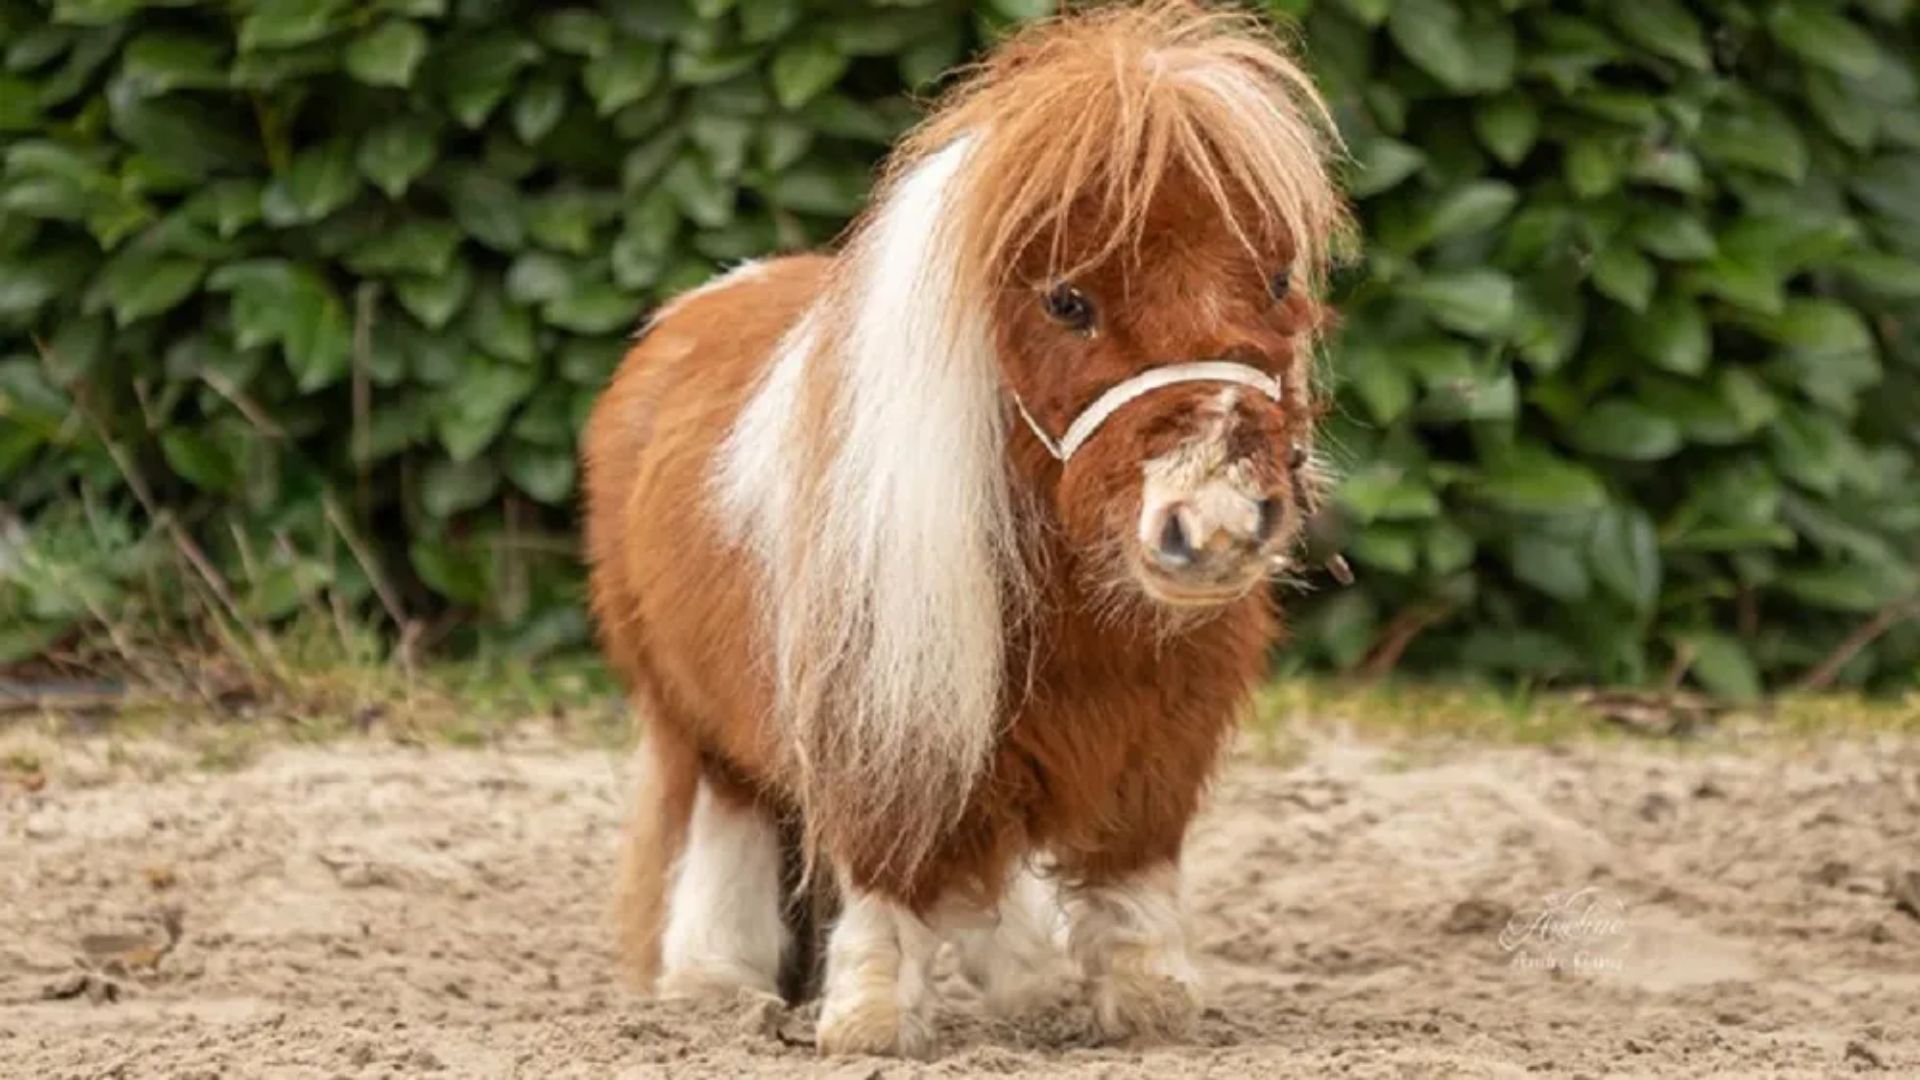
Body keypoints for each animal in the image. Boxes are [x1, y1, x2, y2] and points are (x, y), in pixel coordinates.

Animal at [581, 0, 1347, 1056]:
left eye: (1275, 281)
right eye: (1067, 300)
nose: (1216, 523)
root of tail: (693, 310)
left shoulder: (1161, 730)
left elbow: (1129, 875)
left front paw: (1147, 1005)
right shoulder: (880, 715)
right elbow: (885, 872)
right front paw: (868, 1021)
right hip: (688, 710)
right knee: (731, 819)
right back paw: (714, 982)